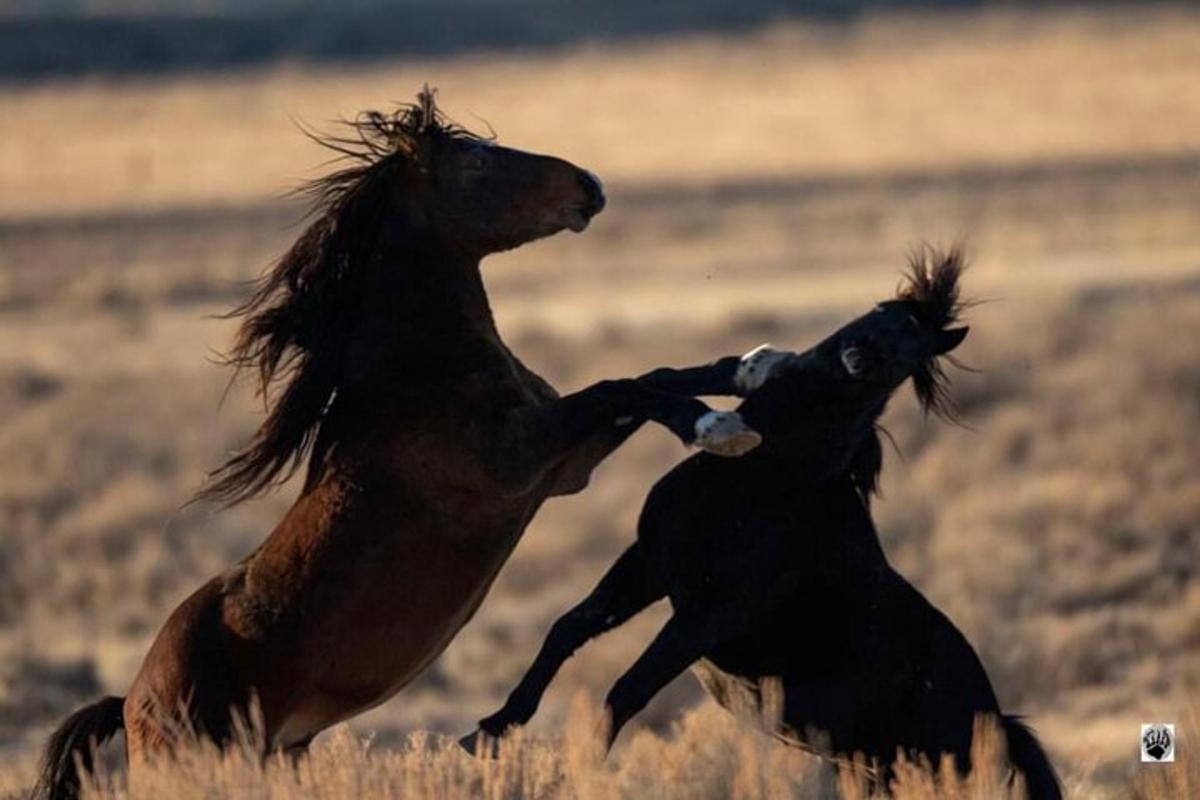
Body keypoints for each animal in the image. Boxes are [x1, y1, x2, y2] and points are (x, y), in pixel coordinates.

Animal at [35, 90, 758, 796]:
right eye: (476, 164)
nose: (591, 184)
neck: (419, 371)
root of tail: (131, 702)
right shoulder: (520, 460)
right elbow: (622, 386)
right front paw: (717, 429)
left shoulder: (564, 467)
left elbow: (649, 378)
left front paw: (751, 371)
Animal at [463, 251, 1065, 800]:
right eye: (884, 314)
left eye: (910, 346)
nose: (860, 356)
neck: (770, 477)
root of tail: (1002, 726)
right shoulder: (649, 565)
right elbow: (570, 627)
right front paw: (488, 733)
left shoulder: (711, 613)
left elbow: (627, 688)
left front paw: (574, 769)